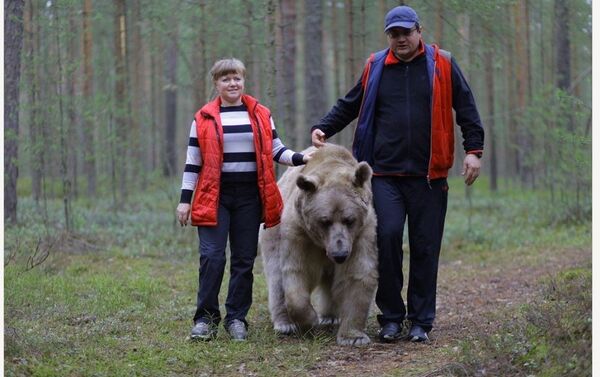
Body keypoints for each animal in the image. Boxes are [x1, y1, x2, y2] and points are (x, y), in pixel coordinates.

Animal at [260, 145, 378, 346]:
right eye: (325, 221)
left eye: (349, 219)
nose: (340, 254)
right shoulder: (300, 234)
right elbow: (298, 272)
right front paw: (310, 321)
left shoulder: (361, 234)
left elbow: (356, 274)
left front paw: (353, 337)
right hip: (273, 232)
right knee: (276, 276)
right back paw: (285, 324)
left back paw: (330, 316)